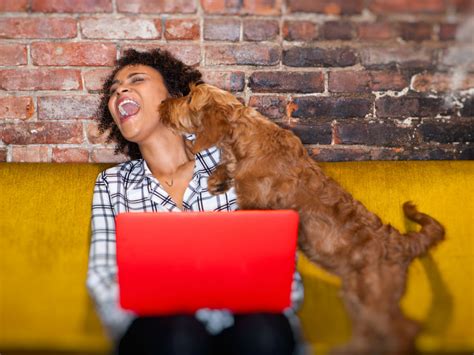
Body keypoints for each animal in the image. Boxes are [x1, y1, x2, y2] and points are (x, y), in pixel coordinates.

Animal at [159, 84, 444, 355]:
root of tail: (400, 243)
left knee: (402, 329)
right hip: (356, 296)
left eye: (188, 98)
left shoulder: (257, 206)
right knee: (371, 332)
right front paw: (218, 180)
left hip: (373, 295)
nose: (162, 103)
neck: (244, 137)